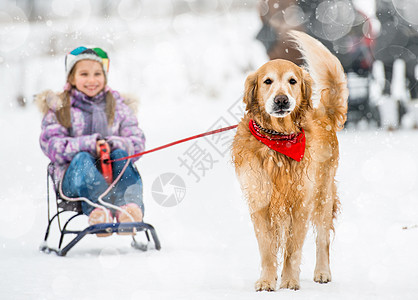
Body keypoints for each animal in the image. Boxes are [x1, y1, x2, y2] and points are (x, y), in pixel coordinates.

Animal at [233, 31, 348, 292]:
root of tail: (323, 113)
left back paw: (322, 272)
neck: (278, 139)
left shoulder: (301, 203)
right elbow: (267, 248)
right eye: (267, 81)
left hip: (323, 196)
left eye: (292, 81)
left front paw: (289, 281)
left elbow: (293, 249)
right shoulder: (260, 201)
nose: (281, 100)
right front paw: (267, 280)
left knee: (323, 239)